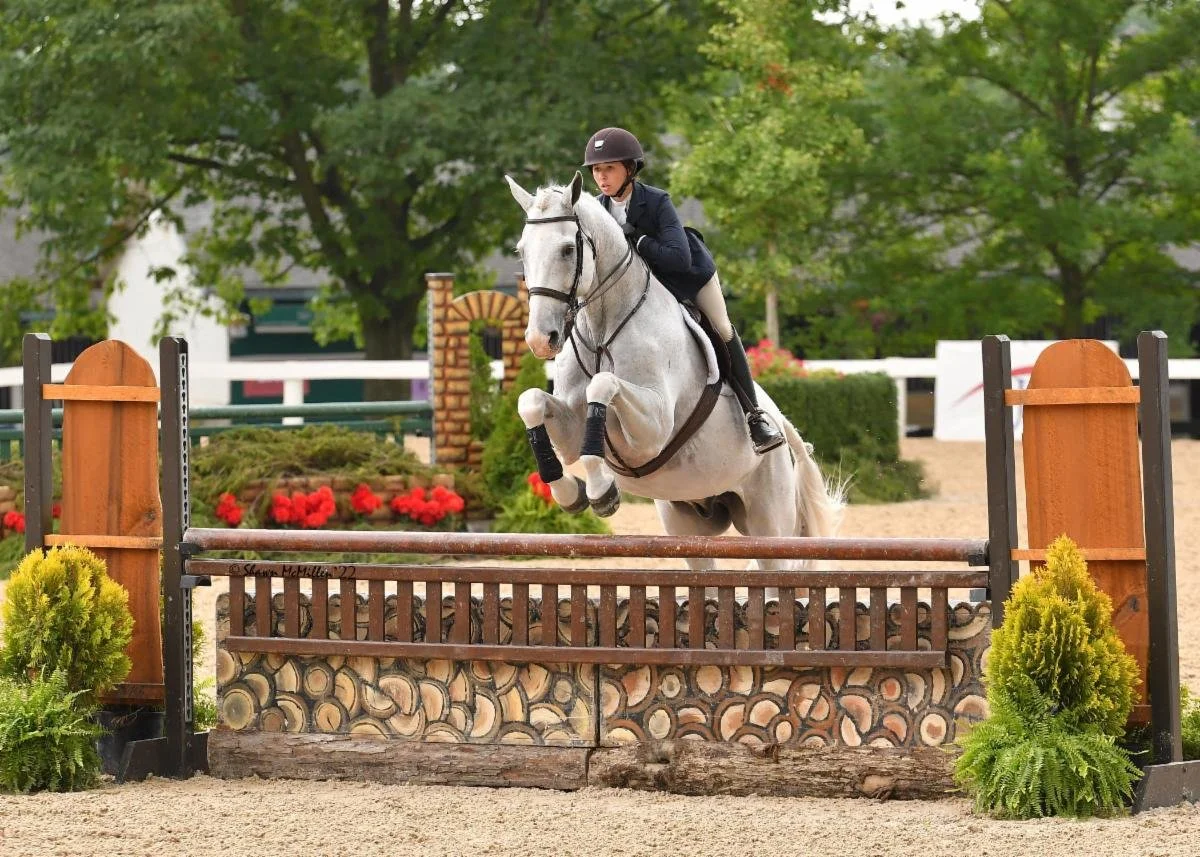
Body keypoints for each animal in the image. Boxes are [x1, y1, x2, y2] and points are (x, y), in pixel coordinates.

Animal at [505, 171, 843, 573]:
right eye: (522, 251)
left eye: (567, 250)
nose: (541, 340)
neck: (602, 330)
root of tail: (781, 423)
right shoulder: (571, 428)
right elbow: (532, 402)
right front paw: (569, 492)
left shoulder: (653, 429)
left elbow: (602, 386)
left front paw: (602, 492)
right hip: (687, 523)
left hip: (769, 520)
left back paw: (762, 430)